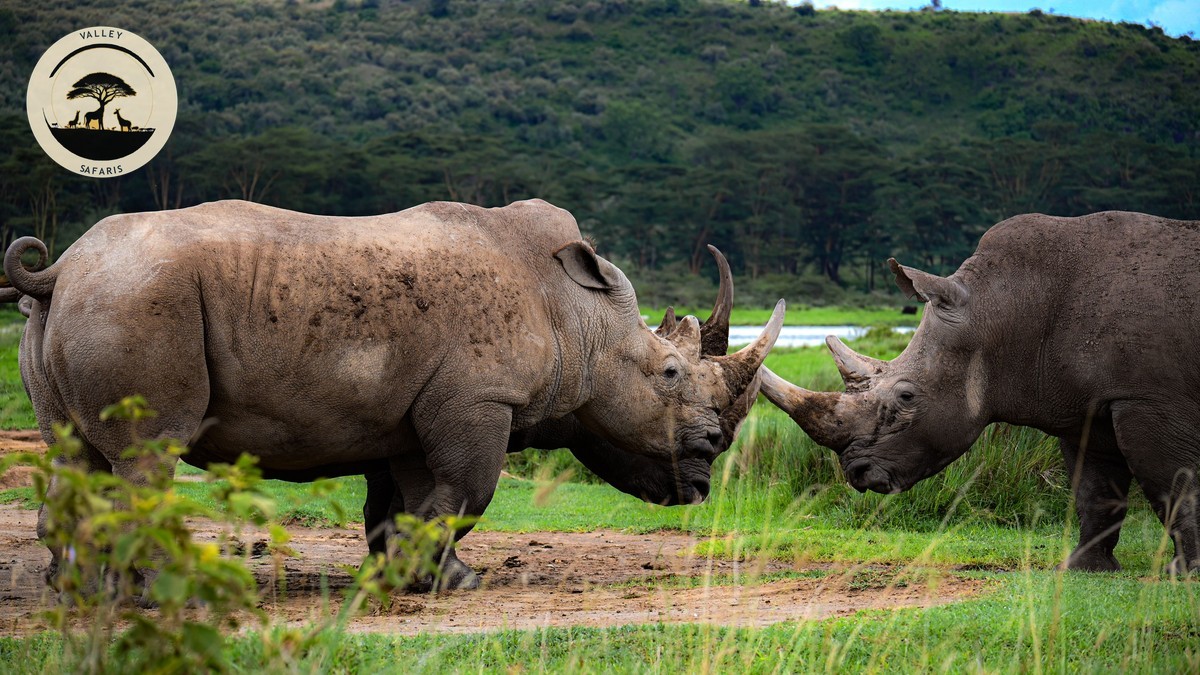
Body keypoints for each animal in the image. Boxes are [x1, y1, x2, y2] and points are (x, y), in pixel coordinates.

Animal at [4, 198, 784, 591]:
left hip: (87, 301)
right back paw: (160, 588)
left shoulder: (406, 411)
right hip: (137, 297)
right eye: (670, 374)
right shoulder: (481, 399)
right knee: (148, 454)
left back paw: (84, 591)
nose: (710, 454)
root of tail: (60, 267)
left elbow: (404, 499)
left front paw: (415, 575)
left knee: (73, 452)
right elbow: (468, 491)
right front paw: (443, 578)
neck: (578, 314)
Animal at [760, 211, 1200, 574]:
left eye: (906, 398)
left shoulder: (1149, 398)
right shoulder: (1088, 404)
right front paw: (1086, 568)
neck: (1006, 307)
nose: (858, 474)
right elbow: (1094, 489)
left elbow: (1173, 482)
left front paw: (1187, 573)